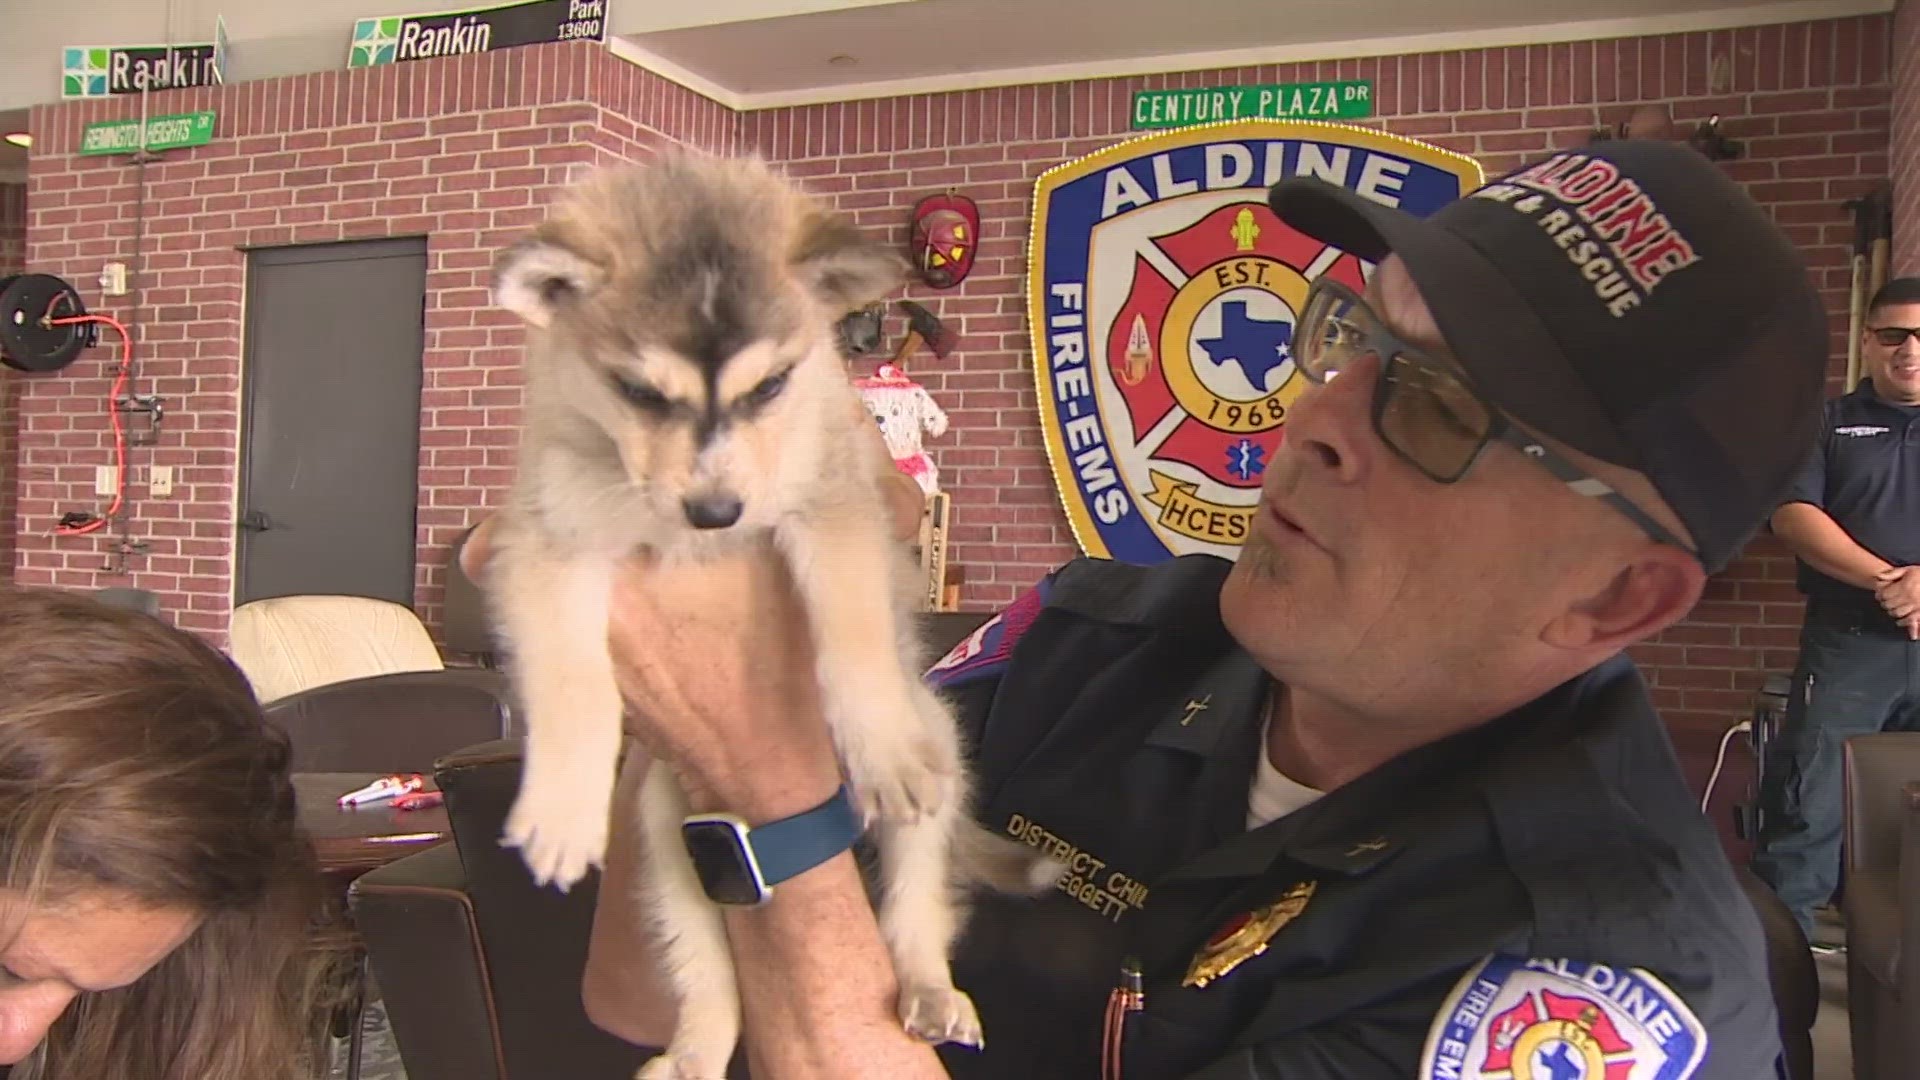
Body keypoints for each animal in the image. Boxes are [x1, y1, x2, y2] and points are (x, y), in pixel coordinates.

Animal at [480, 153, 1052, 1076]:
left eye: (772, 385)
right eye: (638, 392)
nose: (716, 513)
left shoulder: (835, 506)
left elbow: (853, 632)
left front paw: (879, 739)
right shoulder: (548, 540)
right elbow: (571, 681)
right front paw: (561, 804)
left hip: (935, 757)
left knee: (917, 901)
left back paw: (929, 986)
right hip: (669, 840)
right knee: (706, 967)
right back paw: (695, 1049)